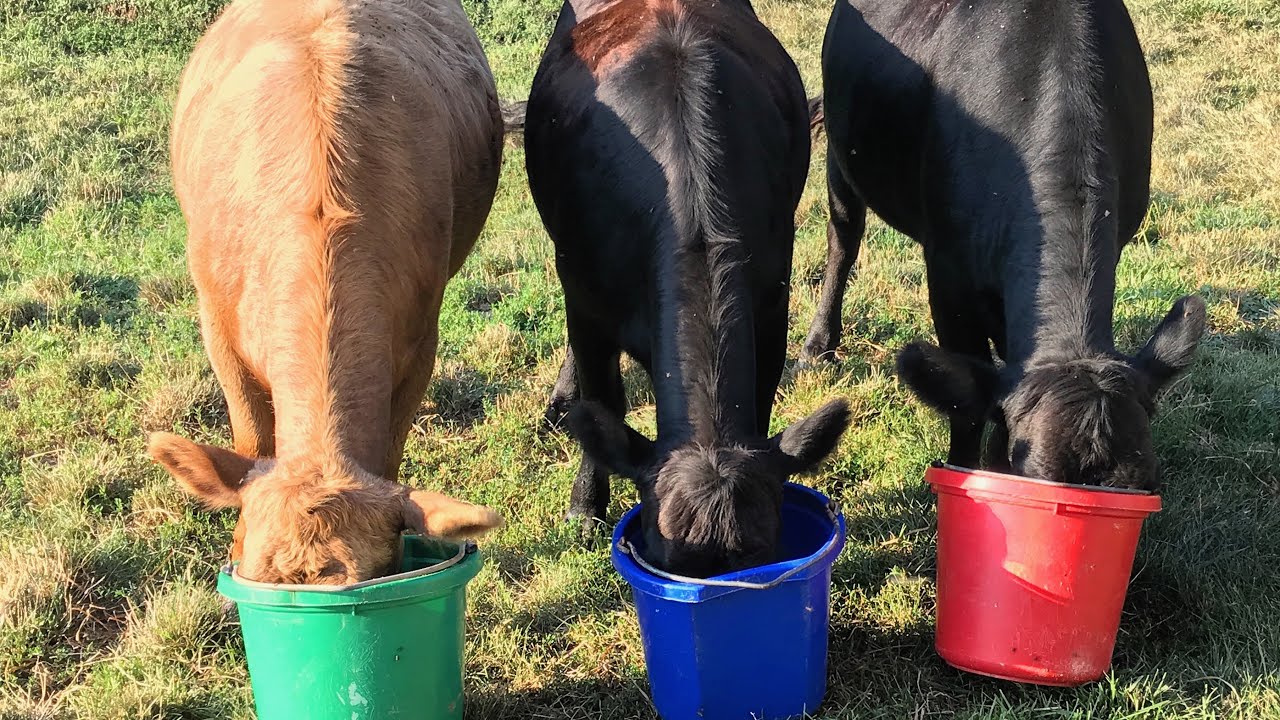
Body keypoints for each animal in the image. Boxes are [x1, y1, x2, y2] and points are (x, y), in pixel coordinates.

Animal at [524, 0, 851, 577]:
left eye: (765, 552)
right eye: (663, 558)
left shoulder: (771, 308)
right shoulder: (586, 305)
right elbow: (604, 405)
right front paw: (585, 506)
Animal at [802, 0, 1206, 489]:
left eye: (1149, 482)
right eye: (1036, 473)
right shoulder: (949, 275)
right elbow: (966, 403)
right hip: (842, 159)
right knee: (843, 240)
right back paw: (818, 346)